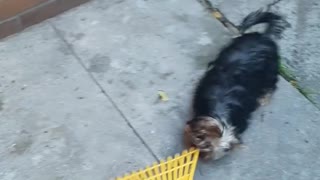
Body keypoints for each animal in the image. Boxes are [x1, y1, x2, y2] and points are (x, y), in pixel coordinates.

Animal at [184, 9, 288, 160]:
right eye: (203, 141)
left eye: (208, 148)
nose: (202, 153)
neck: (220, 113)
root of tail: (265, 36)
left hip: (270, 70)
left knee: (271, 84)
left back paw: (264, 98)